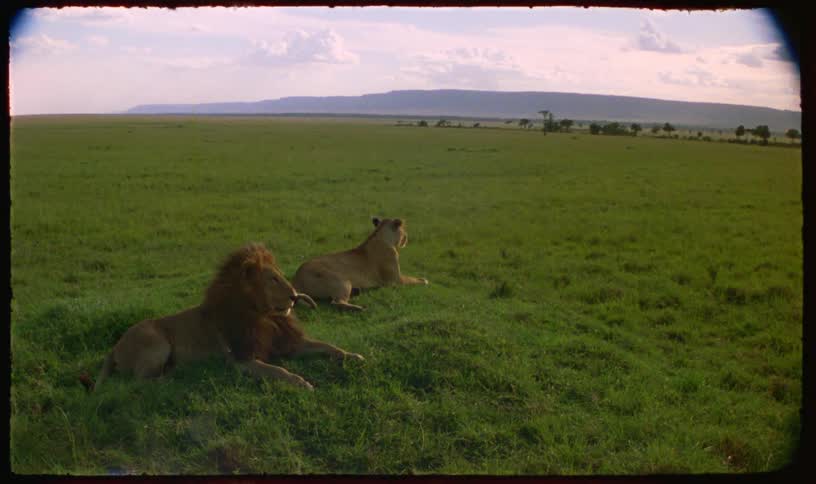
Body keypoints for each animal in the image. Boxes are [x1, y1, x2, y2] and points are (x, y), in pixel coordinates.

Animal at [90, 243, 364, 392]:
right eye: (273, 279)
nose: (295, 297)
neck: (263, 317)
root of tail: (115, 346)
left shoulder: (287, 342)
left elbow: (329, 347)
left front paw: (354, 356)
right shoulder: (241, 360)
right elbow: (279, 371)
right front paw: (301, 383)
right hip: (156, 342)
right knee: (137, 382)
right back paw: (173, 378)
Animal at [292, 217, 428, 311]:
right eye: (404, 230)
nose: (406, 238)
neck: (380, 236)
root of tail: (296, 279)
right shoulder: (395, 280)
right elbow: (415, 280)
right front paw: (424, 280)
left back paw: (357, 292)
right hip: (341, 280)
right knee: (336, 302)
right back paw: (359, 308)